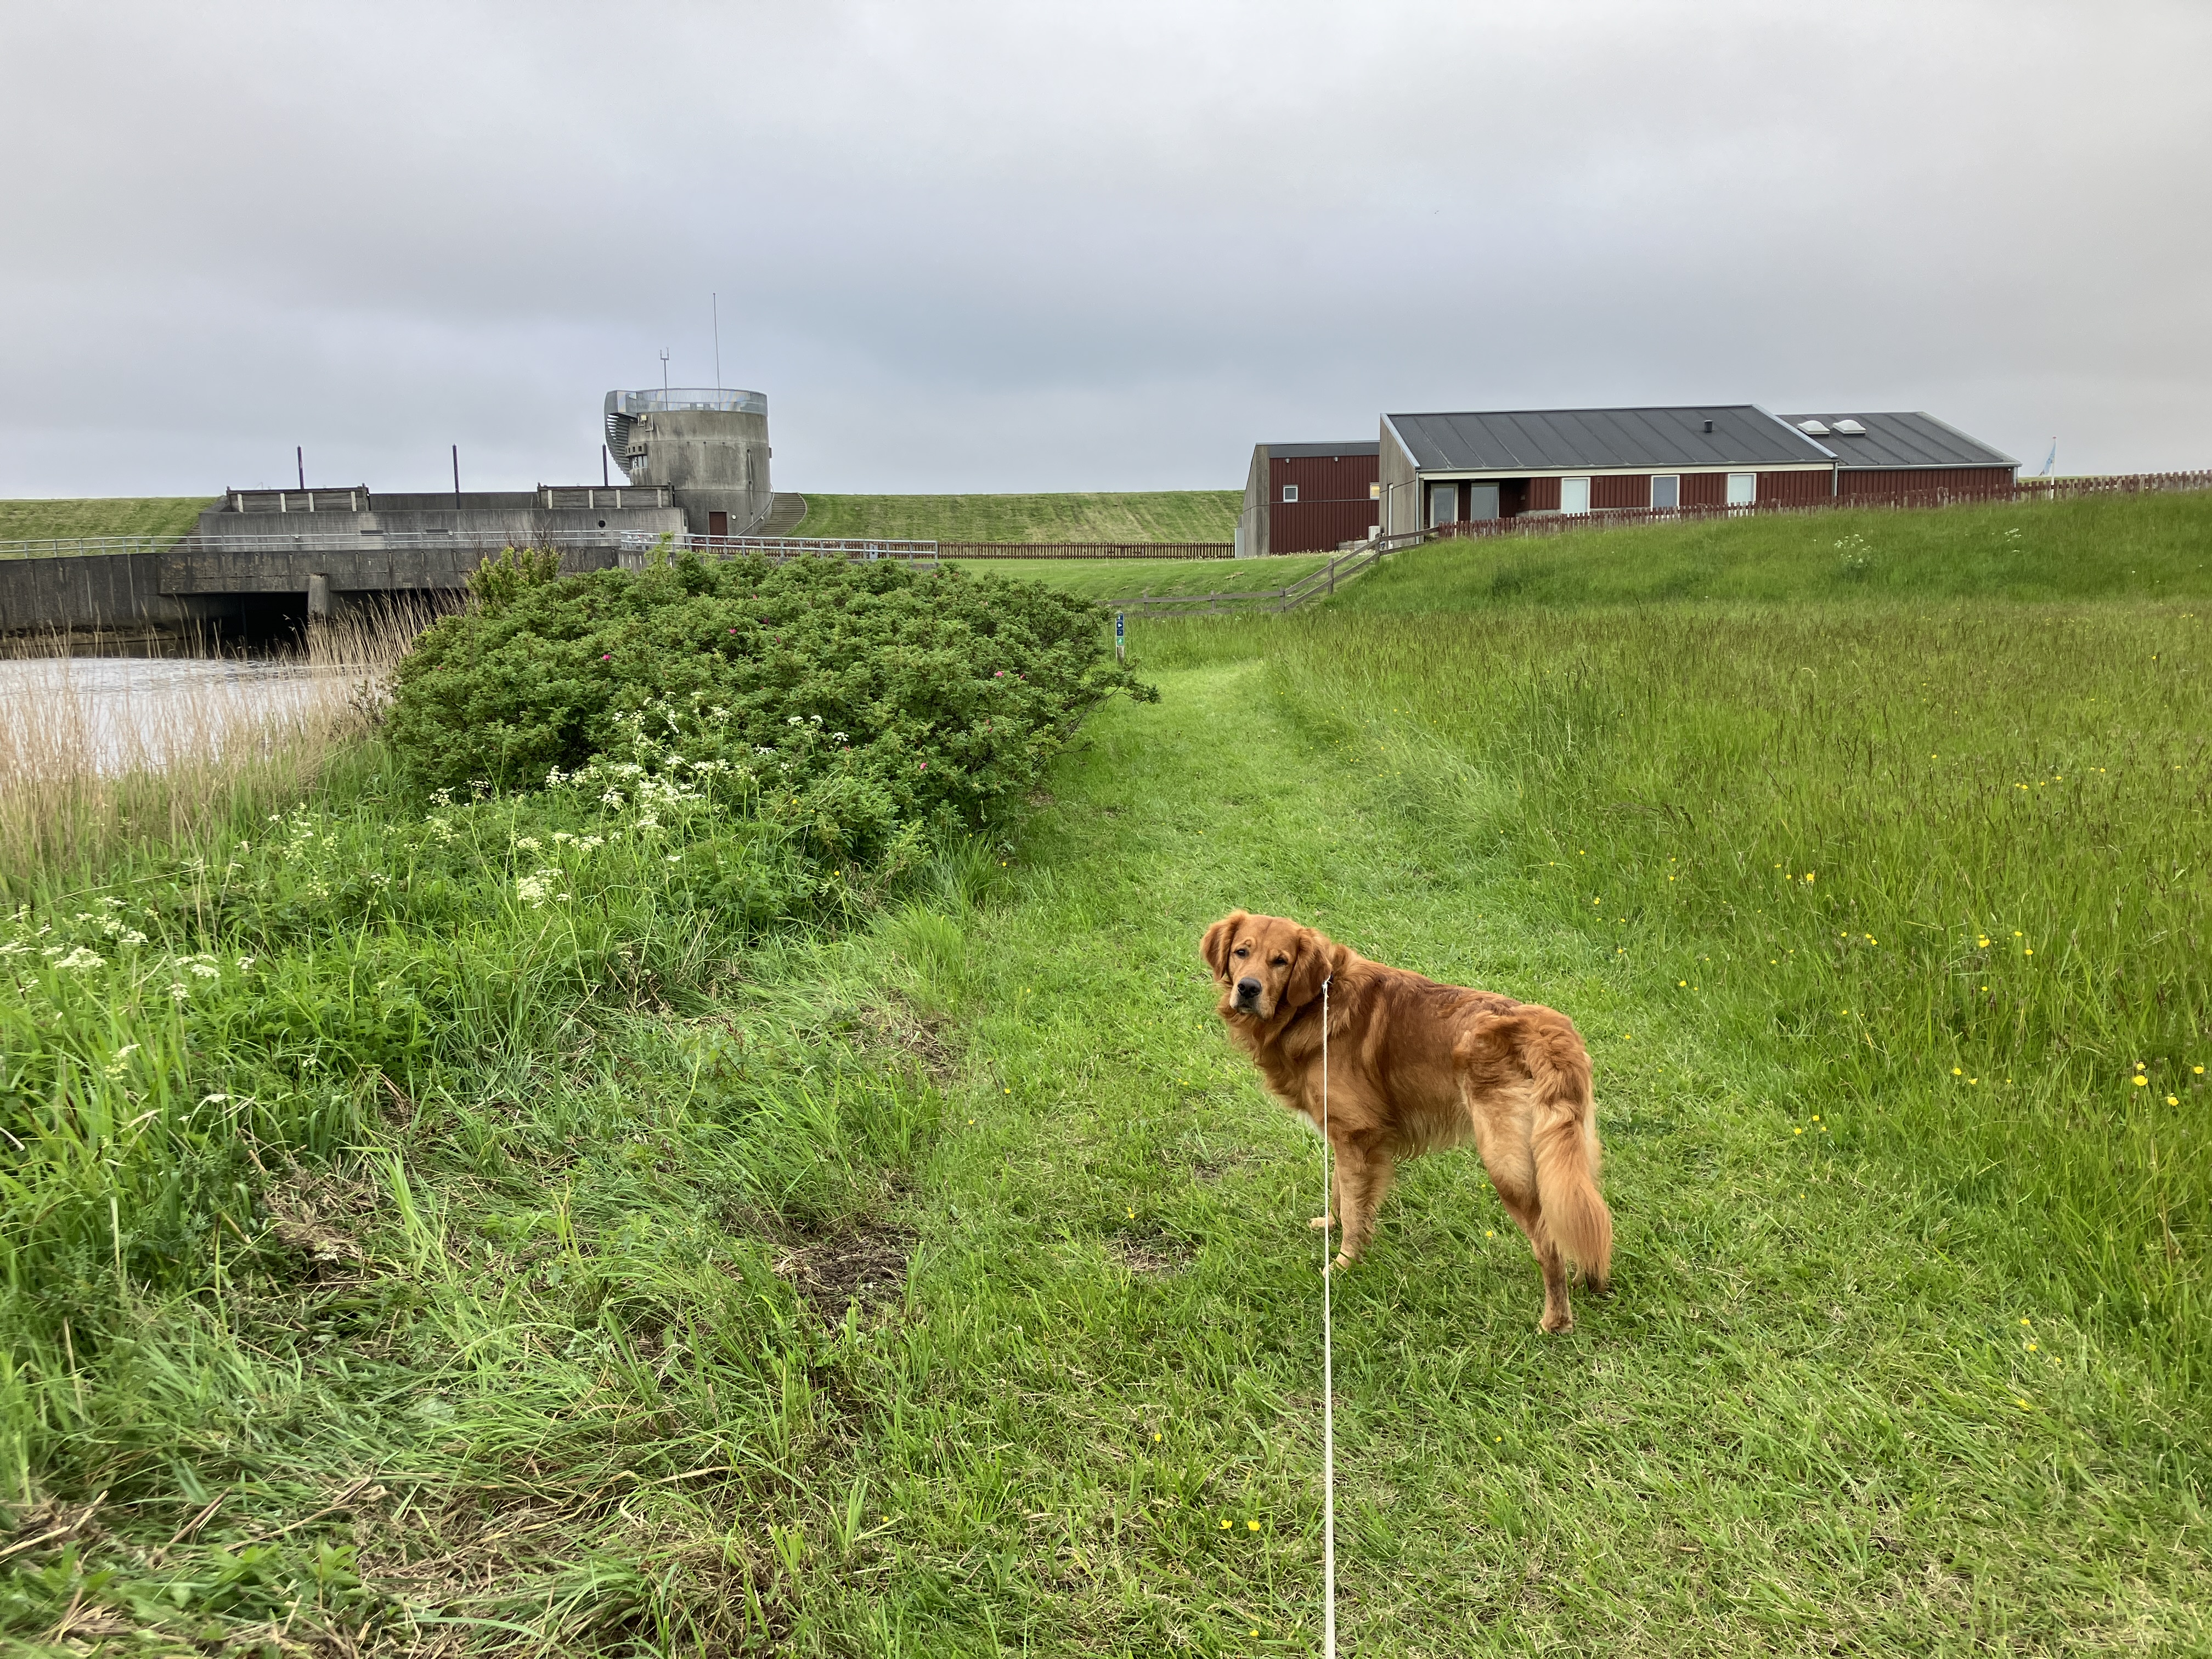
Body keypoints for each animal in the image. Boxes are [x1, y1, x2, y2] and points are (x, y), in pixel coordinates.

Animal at [1201, 910, 1612, 1332]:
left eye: (1280, 961)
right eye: (1241, 952)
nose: (1248, 989)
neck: (1316, 1003)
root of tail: (1548, 1036)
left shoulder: (1356, 1134)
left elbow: (1354, 1208)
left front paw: (1343, 1265)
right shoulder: (1347, 1137)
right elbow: (1341, 1192)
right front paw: (1331, 1226)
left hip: (1509, 1167)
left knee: (1549, 1243)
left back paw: (1555, 1321)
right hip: (1566, 1158)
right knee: (1584, 1218)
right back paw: (1587, 1280)